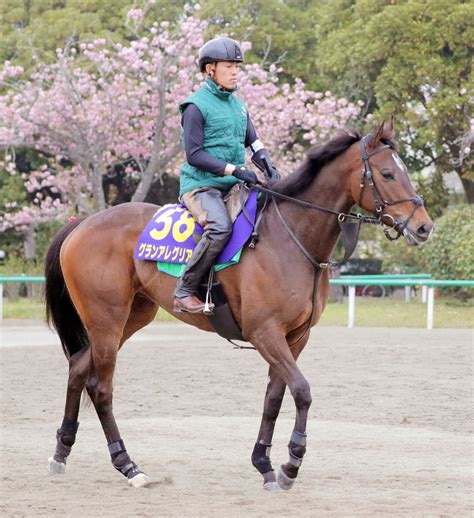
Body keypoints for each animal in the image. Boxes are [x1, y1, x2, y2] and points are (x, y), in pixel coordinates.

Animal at [44, 122, 434, 492]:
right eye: (388, 173)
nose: (424, 227)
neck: (290, 237)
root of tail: (82, 224)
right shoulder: (265, 333)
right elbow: (302, 391)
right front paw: (291, 462)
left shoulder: (295, 337)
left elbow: (275, 398)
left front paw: (265, 464)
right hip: (107, 320)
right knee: (101, 388)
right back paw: (128, 465)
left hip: (131, 317)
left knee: (78, 367)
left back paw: (61, 451)